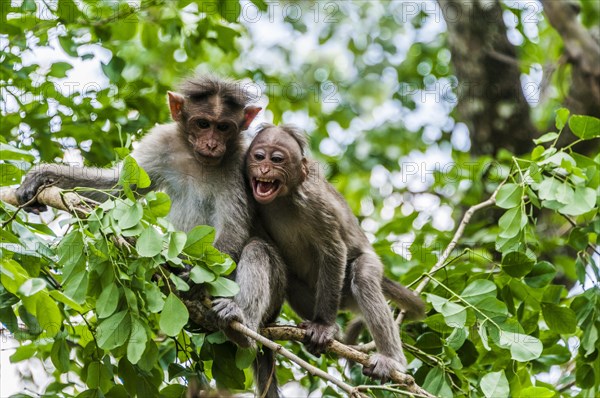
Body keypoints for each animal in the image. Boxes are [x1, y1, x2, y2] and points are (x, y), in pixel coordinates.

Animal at [14, 75, 284, 398]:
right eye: (203, 124)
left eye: (224, 127)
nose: (212, 143)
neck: (196, 157)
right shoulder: (161, 142)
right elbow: (118, 187)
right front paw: (42, 176)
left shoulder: (241, 160)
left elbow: (234, 228)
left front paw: (193, 280)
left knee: (257, 249)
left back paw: (240, 323)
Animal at [245, 123, 426, 380]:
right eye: (259, 156)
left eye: (277, 159)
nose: (264, 168)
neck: (282, 199)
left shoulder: (314, 203)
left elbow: (333, 249)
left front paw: (323, 325)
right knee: (292, 280)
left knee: (363, 276)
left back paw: (391, 359)